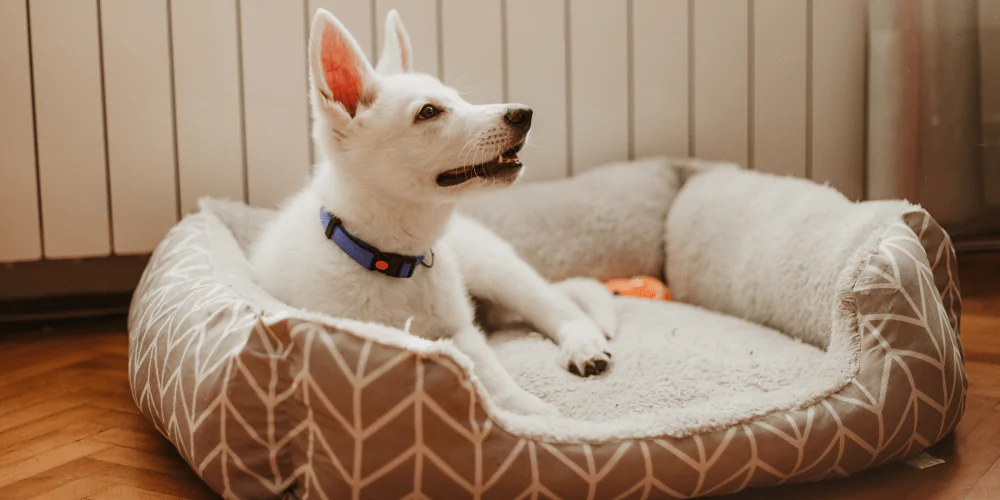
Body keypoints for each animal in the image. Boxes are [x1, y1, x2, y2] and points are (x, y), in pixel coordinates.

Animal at [250, 9, 616, 416]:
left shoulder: (461, 329)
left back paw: (584, 346)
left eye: (457, 99)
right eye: (428, 111)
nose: (524, 113)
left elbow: (493, 376)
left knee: (559, 306)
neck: (390, 260)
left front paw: (535, 415)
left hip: (495, 267)